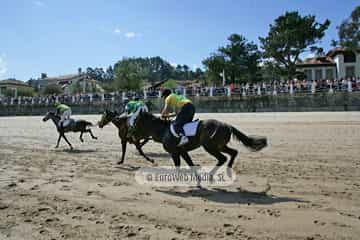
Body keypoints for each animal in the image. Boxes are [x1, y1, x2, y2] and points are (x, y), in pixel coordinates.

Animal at [132, 111, 268, 170]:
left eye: (136, 122)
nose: (132, 135)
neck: (163, 131)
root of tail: (227, 125)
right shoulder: (182, 152)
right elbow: (190, 164)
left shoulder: (174, 153)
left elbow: (178, 166)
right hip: (220, 146)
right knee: (233, 152)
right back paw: (228, 169)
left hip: (210, 147)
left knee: (222, 158)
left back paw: (211, 175)